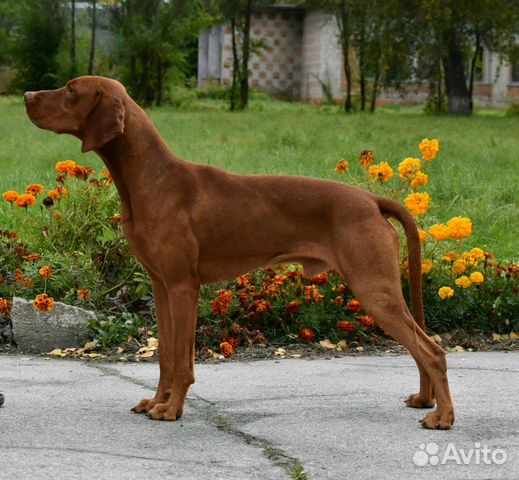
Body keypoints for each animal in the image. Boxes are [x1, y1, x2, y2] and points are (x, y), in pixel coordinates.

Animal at [24, 77, 456, 430]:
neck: (151, 178)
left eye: (71, 90)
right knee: (420, 347)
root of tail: (370, 199)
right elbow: (165, 356)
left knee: (433, 351)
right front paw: (158, 401)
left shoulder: (183, 287)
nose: (27, 96)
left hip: (374, 287)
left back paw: (443, 416)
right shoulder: (161, 286)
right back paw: (425, 400)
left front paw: (172, 409)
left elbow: (182, 361)